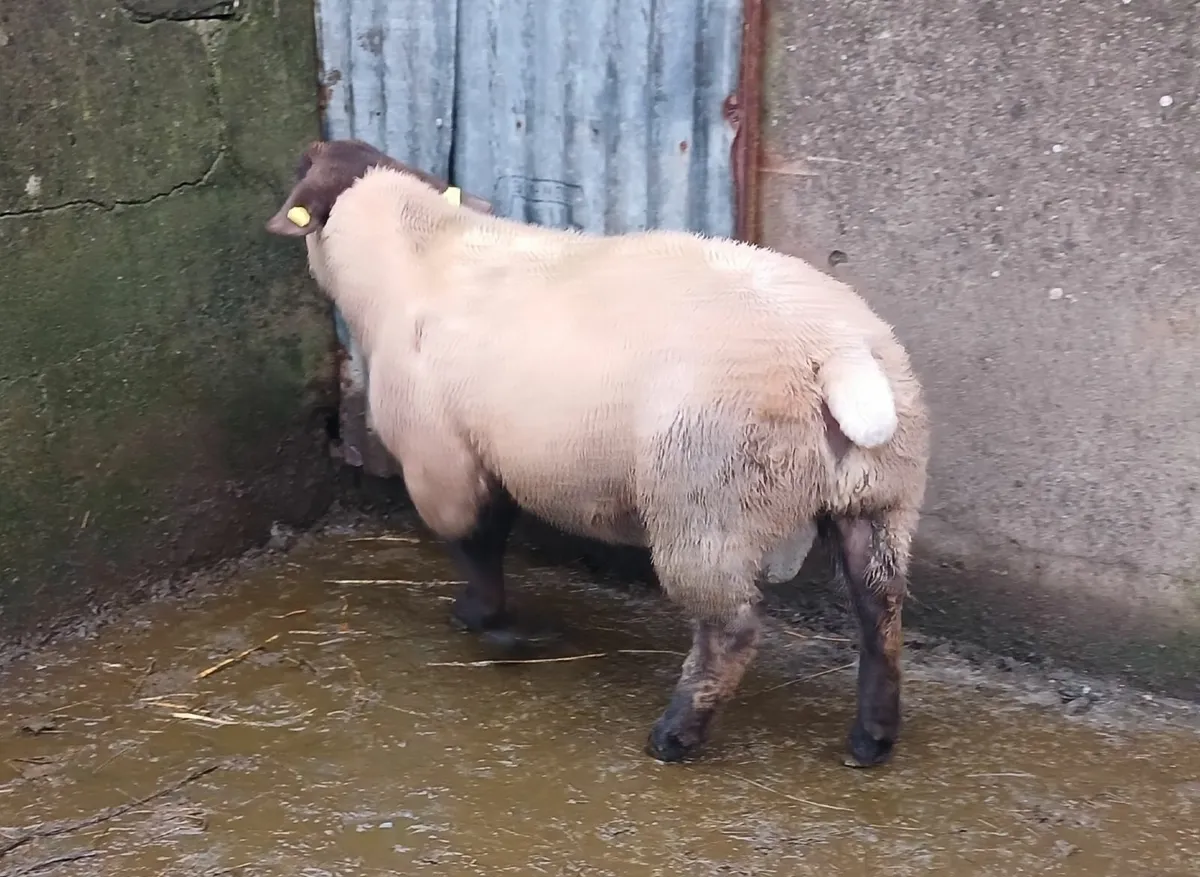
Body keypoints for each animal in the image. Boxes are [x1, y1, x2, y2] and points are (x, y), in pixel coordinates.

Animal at [265, 138, 930, 768]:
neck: (416, 254)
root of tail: (838, 351)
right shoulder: (496, 454)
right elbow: (494, 531)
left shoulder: (442, 460)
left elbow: (475, 542)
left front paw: (483, 619)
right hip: (881, 495)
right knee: (881, 607)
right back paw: (872, 738)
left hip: (709, 499)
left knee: (731, 630)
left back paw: (676, 735)